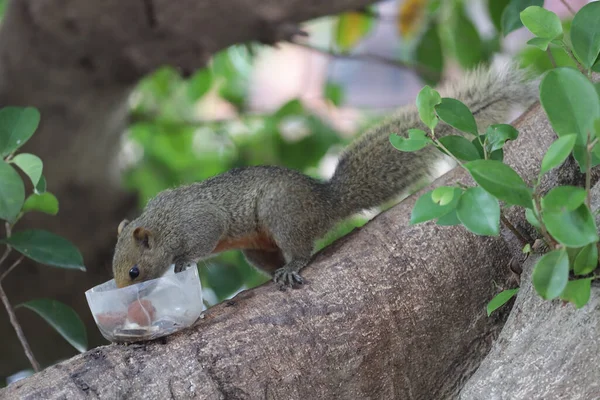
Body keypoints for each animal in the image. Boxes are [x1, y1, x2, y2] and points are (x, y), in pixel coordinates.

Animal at [111, 61, 540, 288]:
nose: (125, 295)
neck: (164, 222)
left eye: (134, 270)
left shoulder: (199, 221)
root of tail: (325, 201)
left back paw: (291, 268)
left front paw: (185, 263)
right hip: (256, 246)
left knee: (302, 250)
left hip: (282, 214)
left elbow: (202, 240)